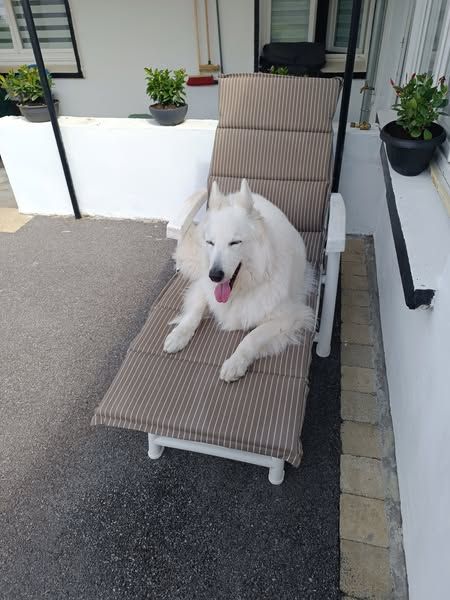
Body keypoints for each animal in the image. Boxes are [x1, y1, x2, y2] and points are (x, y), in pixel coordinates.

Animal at [163, 179, 315, 382]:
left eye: (234, 243)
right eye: (210, 243)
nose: (214, 276)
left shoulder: (290, 317)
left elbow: (252, 337)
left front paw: (235, 362)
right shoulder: (203, 288)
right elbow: (194, 313)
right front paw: (179, 334)